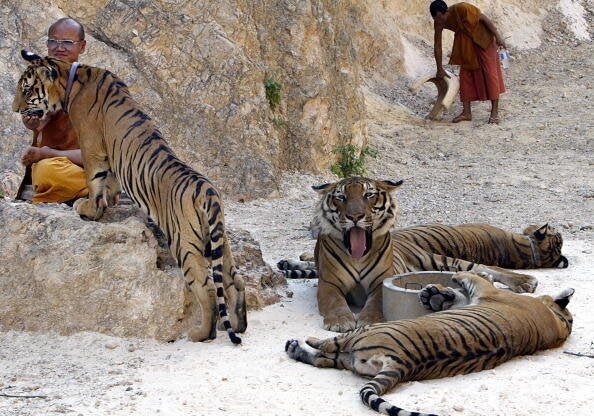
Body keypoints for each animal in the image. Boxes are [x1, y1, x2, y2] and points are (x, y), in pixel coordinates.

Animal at [13, 50, 245, 344]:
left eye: (26, 89)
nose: (14, 109)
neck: (71, 77)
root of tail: (208, 192)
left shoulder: (91, 144)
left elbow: (94, 180)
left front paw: (88, 209)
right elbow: (109, 183)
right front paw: (108, 203)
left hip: (184, 241)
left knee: (205, 287)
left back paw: (201, 333)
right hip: (219, 241)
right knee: (234, 280)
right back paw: (239, 325)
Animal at [280, 176, 544, 332]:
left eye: (368, 195)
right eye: (341, 197)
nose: (355, 216)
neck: (358, 255)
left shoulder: (380, 282)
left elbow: (375, 302)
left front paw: (368, 320)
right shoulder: (329, 283)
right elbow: (334, 301)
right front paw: (341, 321)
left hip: (436, 259)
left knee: (484, 267)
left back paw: (524, 281)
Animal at [286, 272, 572, 414]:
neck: (559, 324)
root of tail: (403, 363)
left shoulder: (485, 290)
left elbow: (474, 275)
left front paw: (456, 276)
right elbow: (460, 293)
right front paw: (436, 294)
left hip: (364, 332)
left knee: (328, 346)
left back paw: (299, 342)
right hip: (353, 356)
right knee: (325, 359)